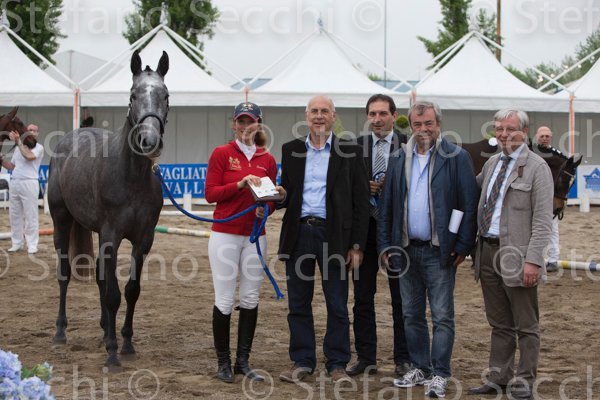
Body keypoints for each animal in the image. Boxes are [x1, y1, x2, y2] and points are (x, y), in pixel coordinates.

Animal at [47, 50, 169, 370]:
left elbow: (130, 290)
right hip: (61, 221)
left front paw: (125, 343)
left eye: (165, 95)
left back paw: (104, 330)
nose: (149, 141)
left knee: (101, 279)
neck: (132, 177)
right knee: (64, 274)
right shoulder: (111, 236)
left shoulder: (143, 239)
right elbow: (113, 294)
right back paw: (60, 332)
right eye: (133, 95)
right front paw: (113, 353)